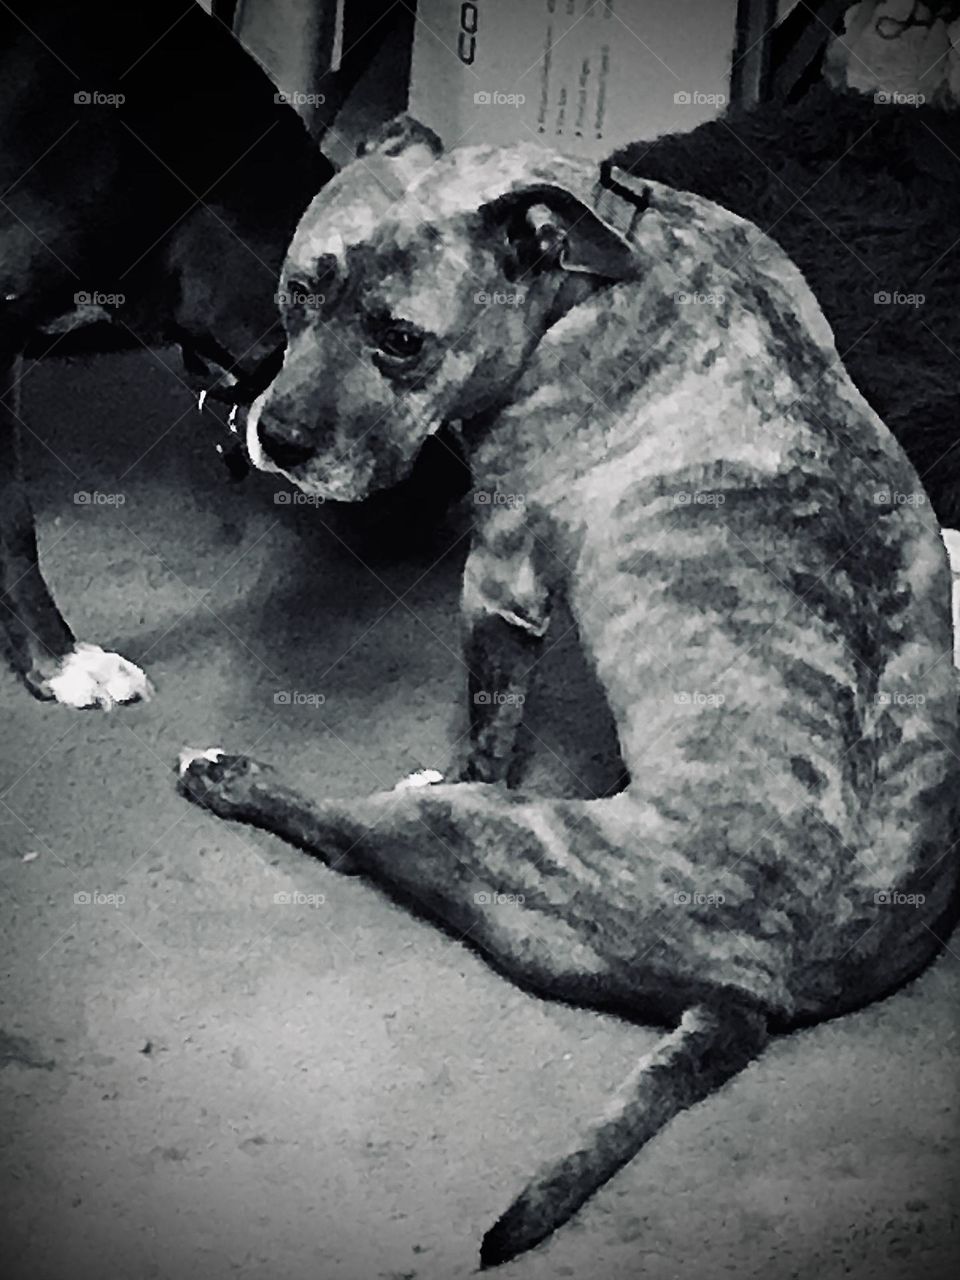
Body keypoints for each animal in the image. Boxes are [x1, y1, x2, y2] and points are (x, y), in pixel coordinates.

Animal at [179, 122, 960, 1269]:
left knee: (355, 828)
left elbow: (489, 727)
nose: (275, 436)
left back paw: (235, 776)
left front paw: (459, 748)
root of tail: (754, 995)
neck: (597, 258)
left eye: (403, 339)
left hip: (480, 833)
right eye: (297, 290)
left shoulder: (498, 584)